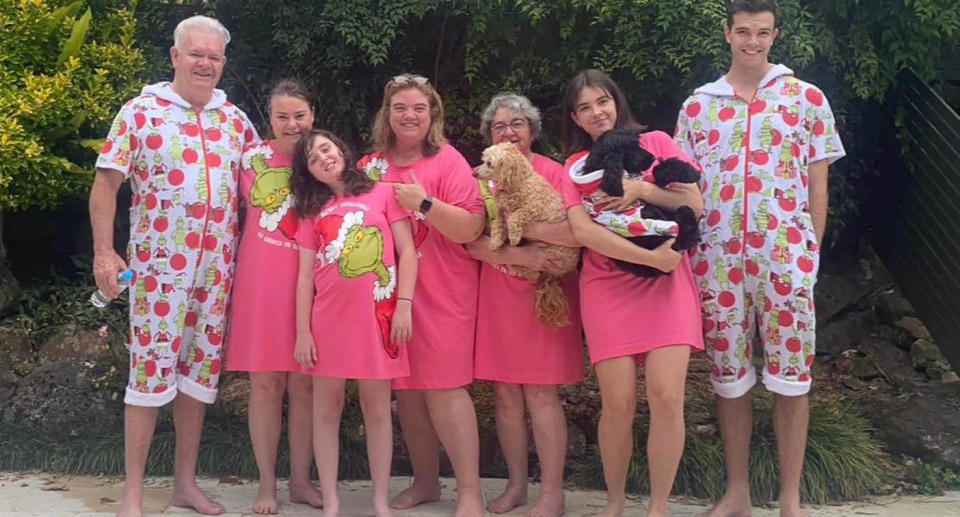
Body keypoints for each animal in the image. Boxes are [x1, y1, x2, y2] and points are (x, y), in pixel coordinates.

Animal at [472, 141, 576, 326]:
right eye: (483, 160)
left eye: (489, 163)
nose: (473, 173)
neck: (518, 182)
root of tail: (553, 276)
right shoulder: (501, 211)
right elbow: (498, 224)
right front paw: (495, 242)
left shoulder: (532, 208)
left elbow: (514, 217)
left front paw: (513, 237)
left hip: (552, 252)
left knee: (532, 274)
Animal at [580, 127, 700, 276]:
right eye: (631, 149)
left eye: (638, 144)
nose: (653, 157)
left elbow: (659, 172)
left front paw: (690, 172)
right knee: (681, 228)